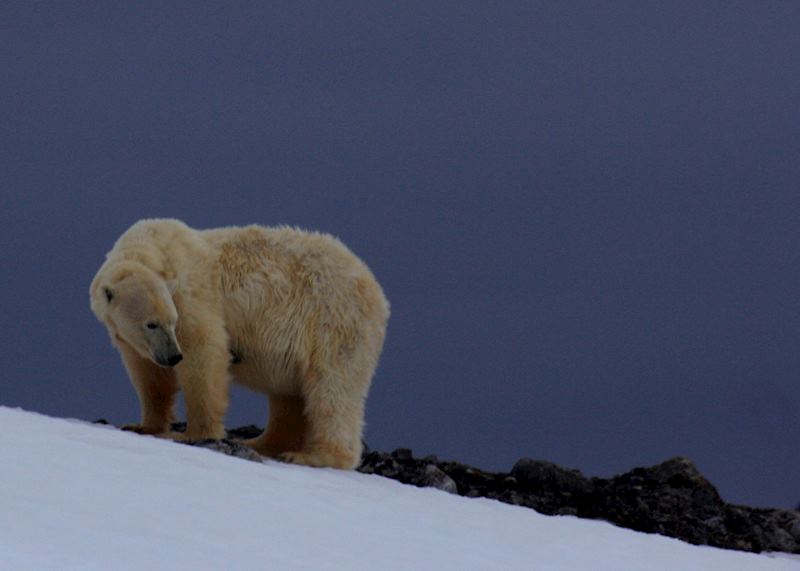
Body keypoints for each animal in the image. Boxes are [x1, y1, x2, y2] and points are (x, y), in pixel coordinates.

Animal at [90, 218, 389, 470]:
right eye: (151, 324)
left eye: (171, 322)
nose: (173, 356)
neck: (152, 245)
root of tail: (377, 292)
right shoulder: (135, 339)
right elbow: (150, 376)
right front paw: (143, 425)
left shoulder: (192, 294)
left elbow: (204, 353)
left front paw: (194, 433)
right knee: (288, 397)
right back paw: (260, 442)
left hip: (334, 322)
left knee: (332, 389)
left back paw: (314, 456)